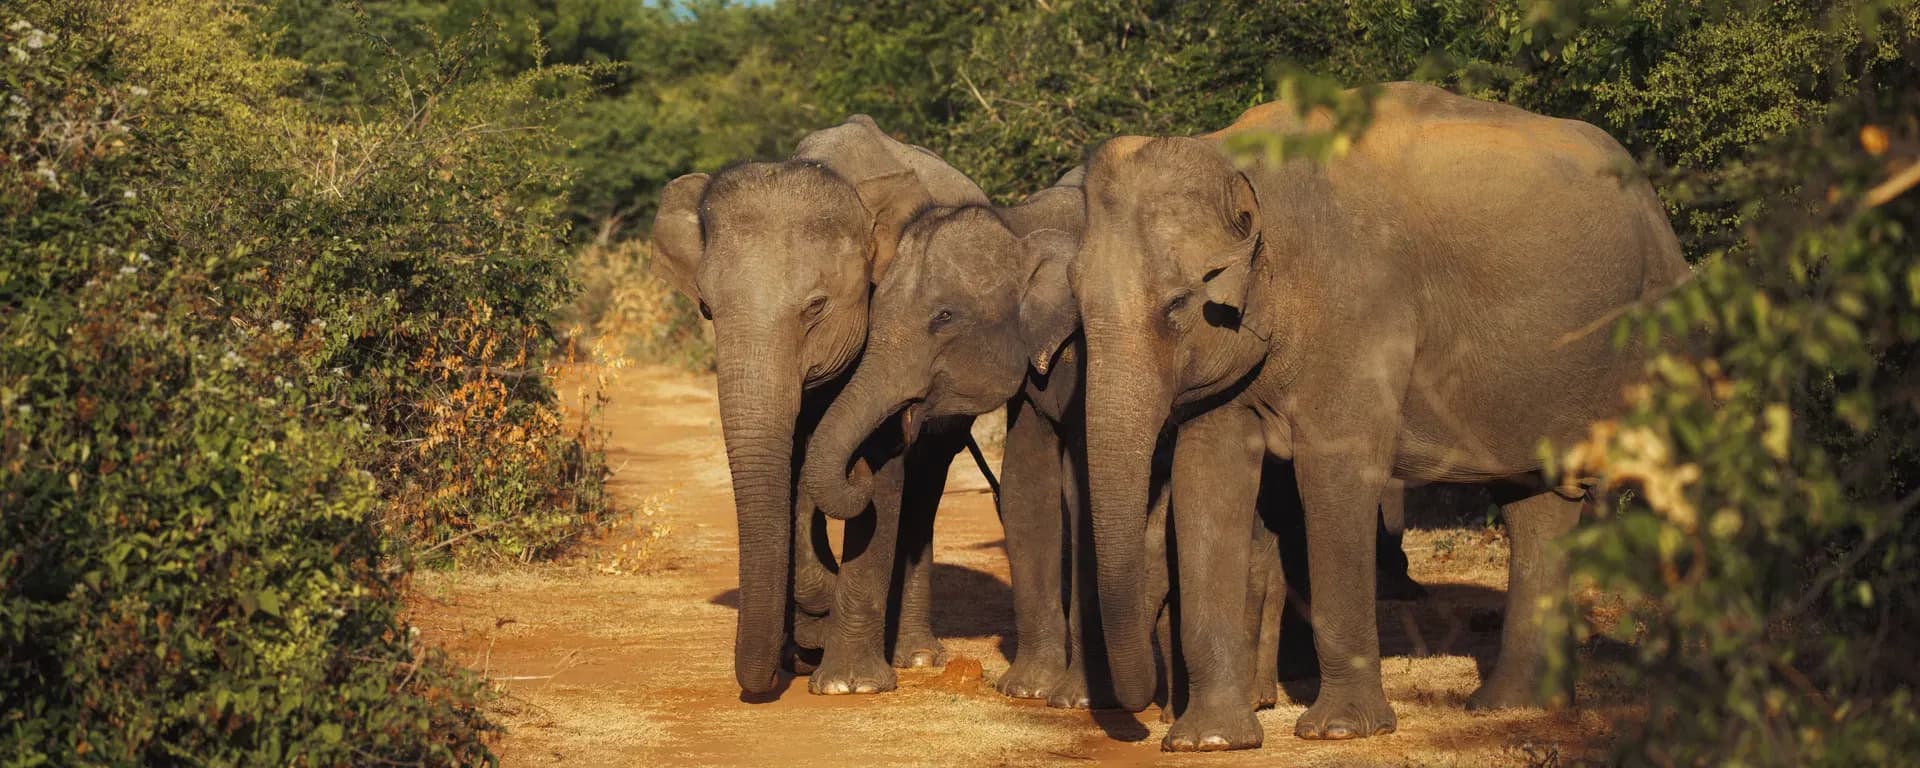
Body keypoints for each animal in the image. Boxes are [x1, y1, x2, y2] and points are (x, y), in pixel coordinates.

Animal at [649, 115, 988, 696]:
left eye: (815, 307)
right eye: (707, 309)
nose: (761, 680)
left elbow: (881, 463)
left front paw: (849, 683)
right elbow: (790, 465)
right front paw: (811, 636)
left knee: (925, 486)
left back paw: (916, 656)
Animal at [1070, 82, 1691, 747]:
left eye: (1178, 304)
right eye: (1075, 300)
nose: (1142, 710)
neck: (1238, 161)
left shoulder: (1361, 306)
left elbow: (1334, 471)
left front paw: (1339, 731)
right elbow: (1206, 476)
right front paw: (1206, 740)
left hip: (1660, 318)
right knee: (1537, 506)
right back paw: (1509, 706)